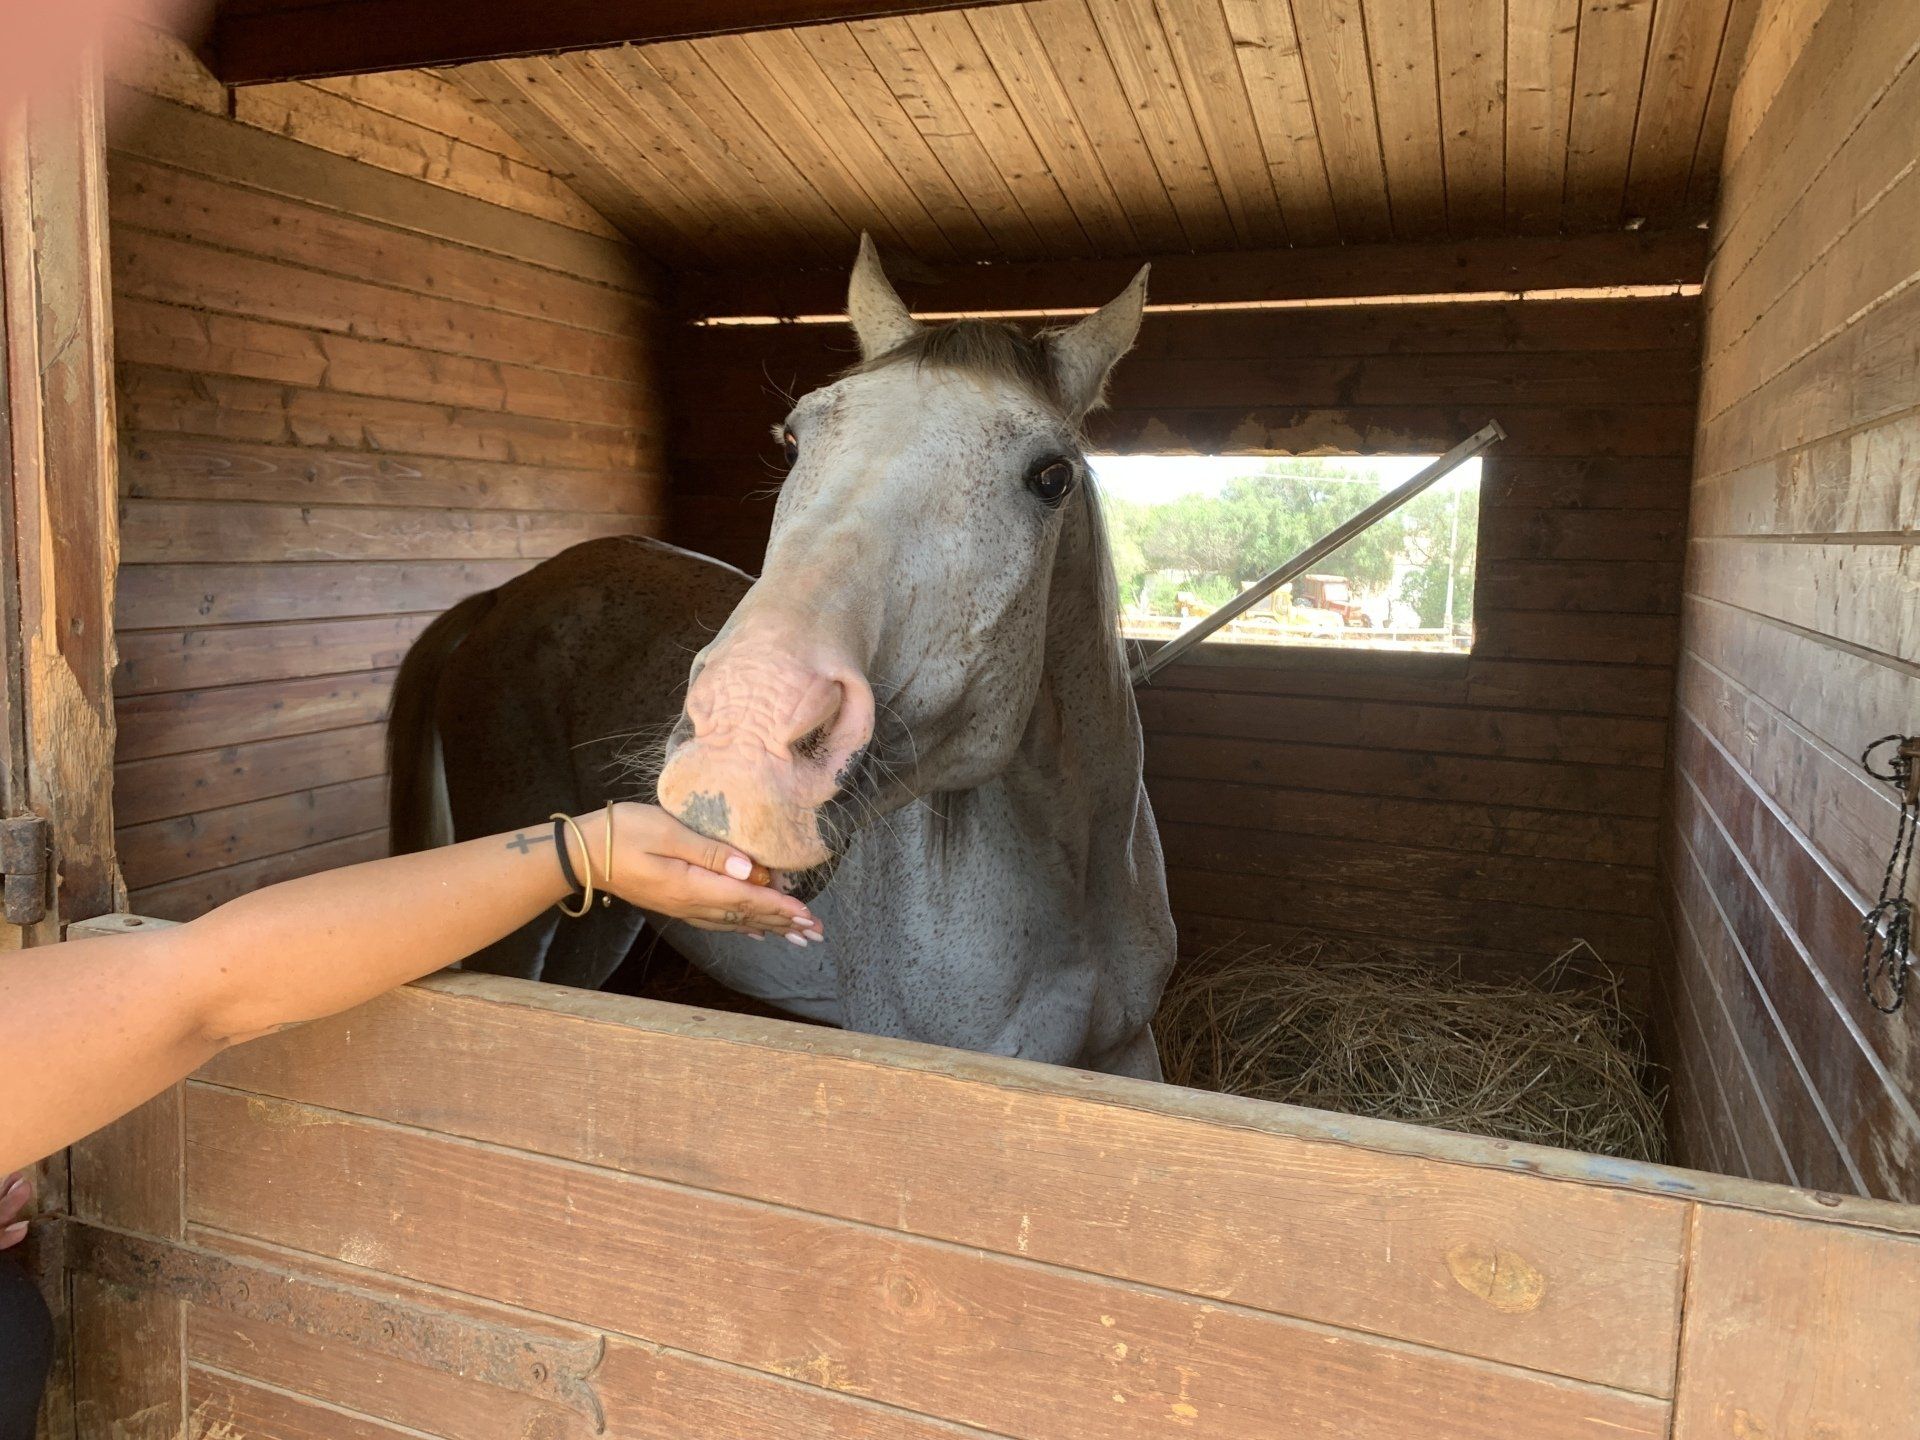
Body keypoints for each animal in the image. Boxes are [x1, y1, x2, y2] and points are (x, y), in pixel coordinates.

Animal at [386, 238, 1177, 1079]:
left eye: (1051, 476)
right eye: (796, 438)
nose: (742, 742)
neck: (1073, 876)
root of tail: (501, 596)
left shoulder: (1129, 1053)